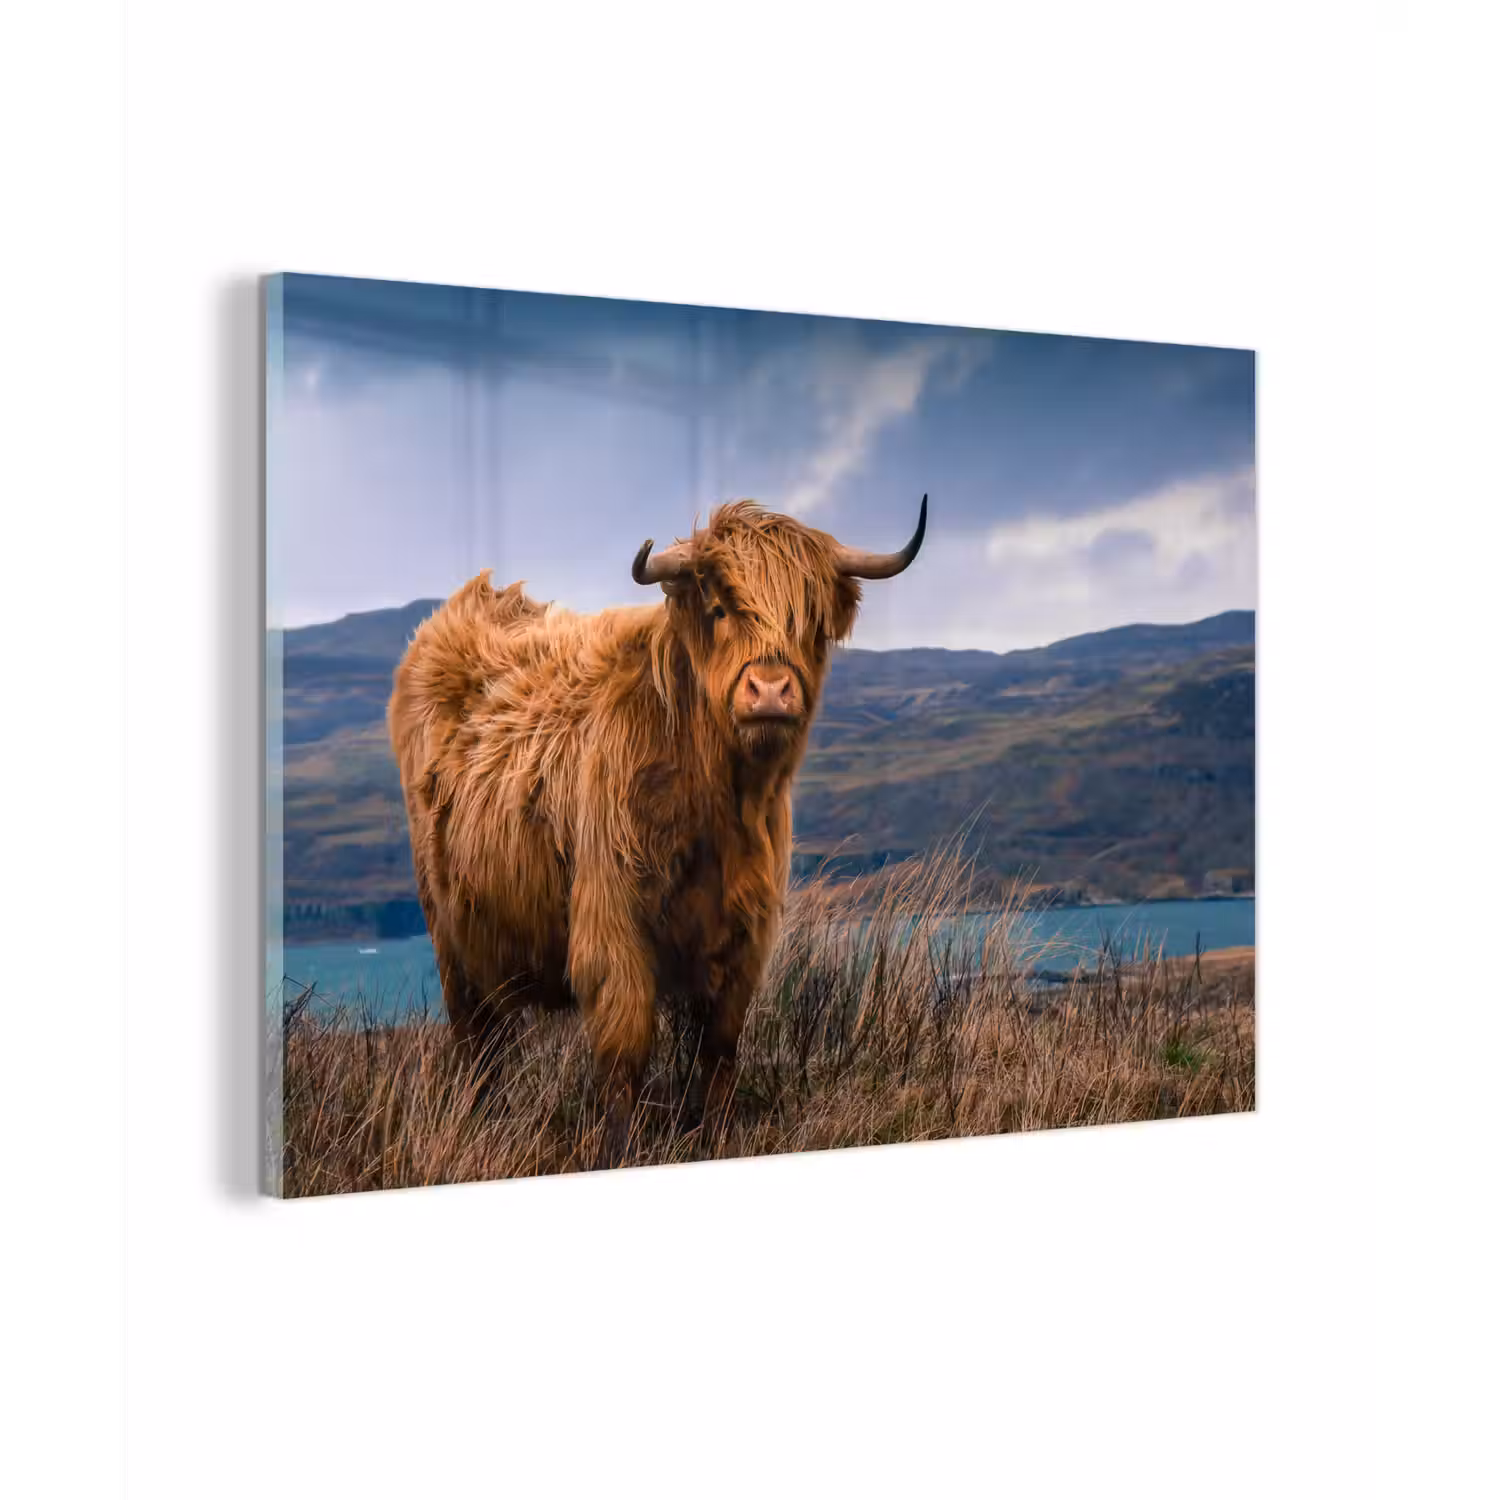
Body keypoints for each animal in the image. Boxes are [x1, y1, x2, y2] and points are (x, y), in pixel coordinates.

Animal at [387, 495, 927, 1159]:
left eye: (808, 619)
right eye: (720, 608)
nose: (770, 690)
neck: (717, 801)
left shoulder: (744, 934)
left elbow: (718, 1050)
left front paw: (712, 1135)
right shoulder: (612, 922)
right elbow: (625, 1050)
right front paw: (619, 1148)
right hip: (451, 933)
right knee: (476, 1040)